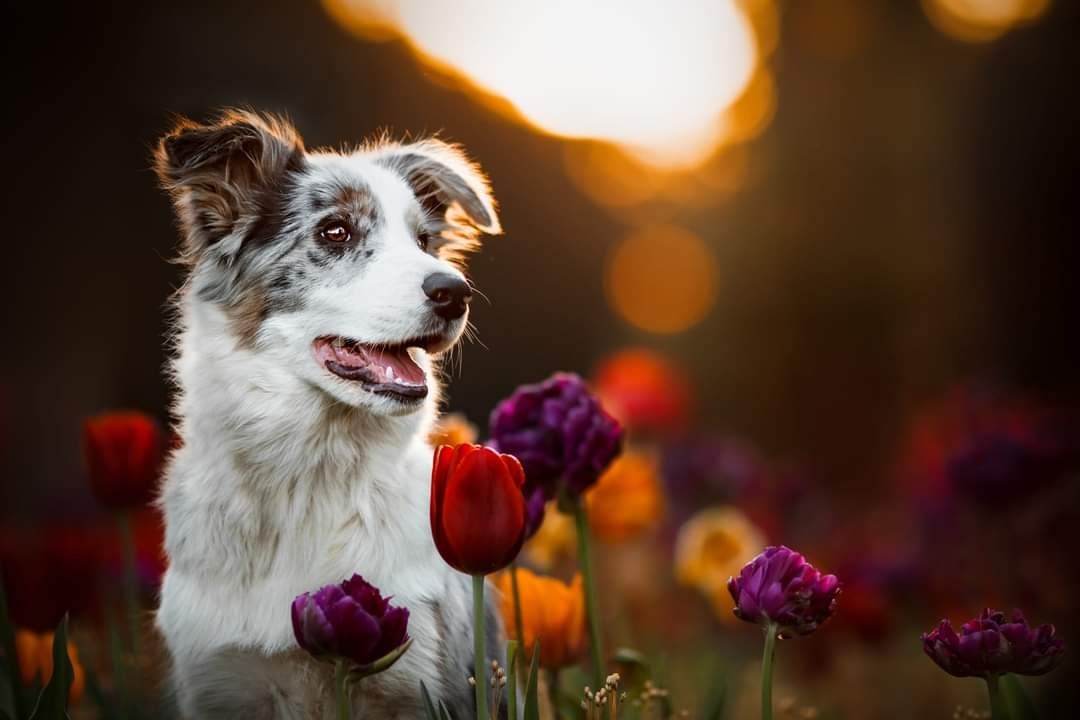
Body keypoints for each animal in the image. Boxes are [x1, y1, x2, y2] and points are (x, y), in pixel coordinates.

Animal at [154, 110, 507, 716]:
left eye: (422, 241)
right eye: (335, 231)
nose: (455, 292)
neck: (308, 477)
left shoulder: (420, 683)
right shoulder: (219, 680)